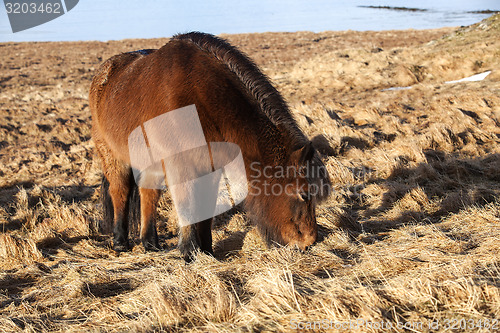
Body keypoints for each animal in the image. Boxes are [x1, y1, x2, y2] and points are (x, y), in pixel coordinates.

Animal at [89, 31, 332, 260]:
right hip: (112, 156)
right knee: (120, 191)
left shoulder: (211, 165)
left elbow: (207, 206)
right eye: (304, 194)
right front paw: (188, 251)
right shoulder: (180, 166)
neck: (202, 99)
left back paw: (150, 243)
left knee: (148, 193)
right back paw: (120, 242)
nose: (309, 242)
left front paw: (206, 250)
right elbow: (187, 204)